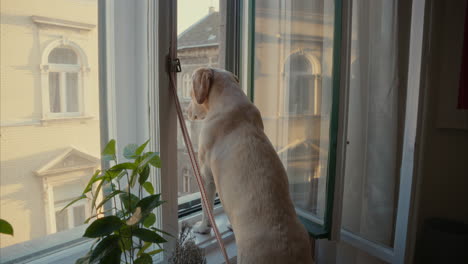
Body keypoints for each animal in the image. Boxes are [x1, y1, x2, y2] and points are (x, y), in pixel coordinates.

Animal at [186, 67, 310, 262]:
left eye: (190, 91)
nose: (186, 111)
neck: (227, 100)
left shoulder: (206, 175)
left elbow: (207, 207)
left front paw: (203, 228)